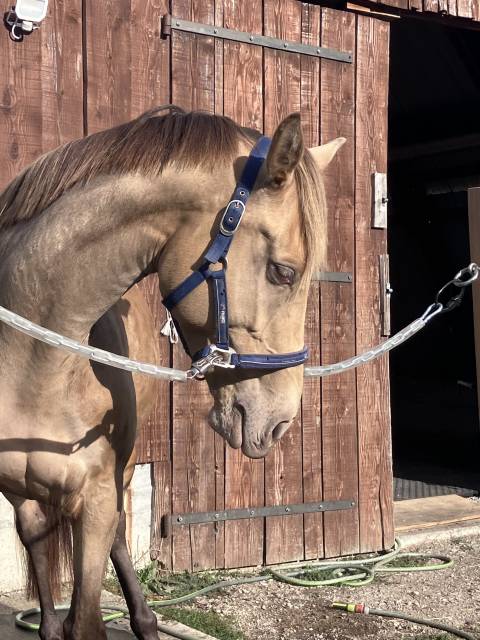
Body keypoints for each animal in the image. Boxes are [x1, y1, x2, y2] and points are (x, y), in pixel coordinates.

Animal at [0, 105, 344, 640]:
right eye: (284, 272)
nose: (280, 422)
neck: (33, 366)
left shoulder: (96, 499)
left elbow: (88, 614)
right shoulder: (17, 495)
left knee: (119, 535)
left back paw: (144, 620)